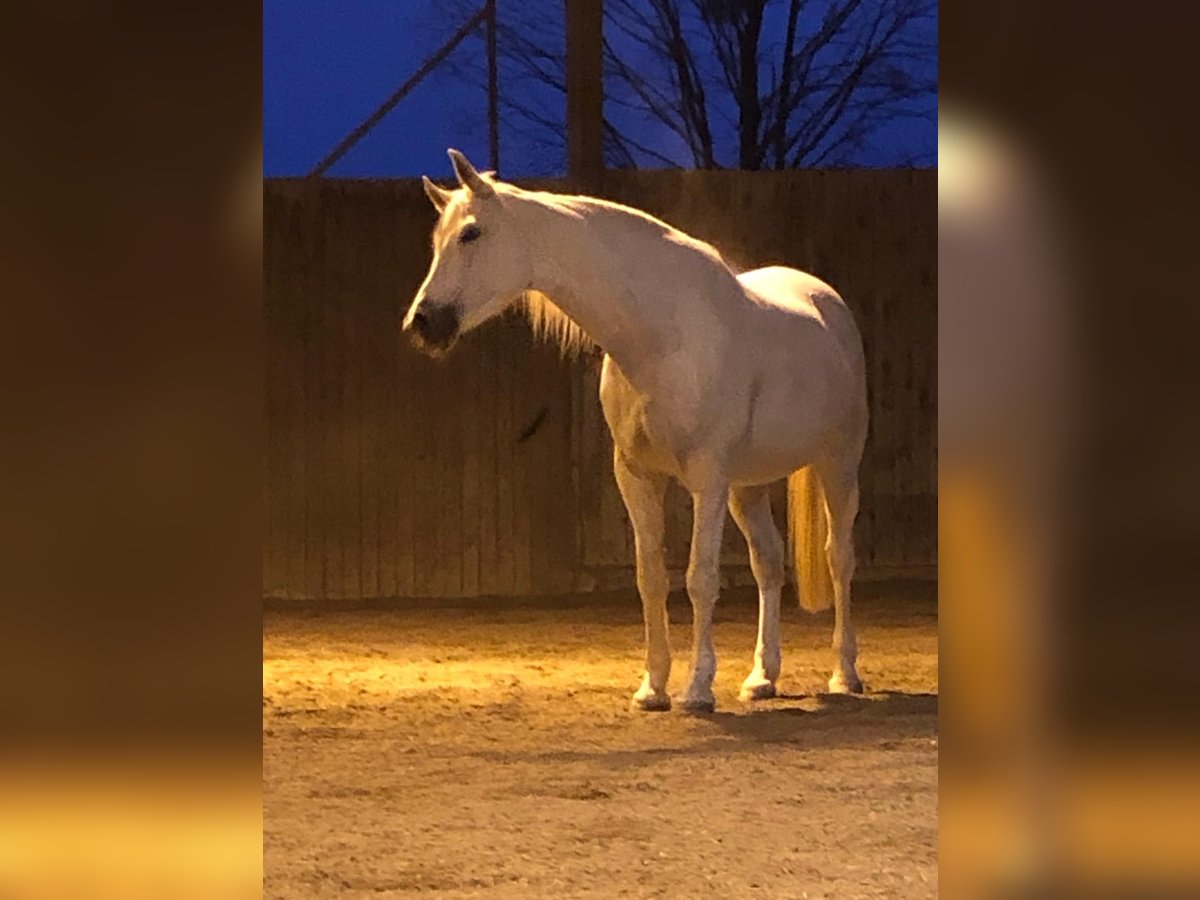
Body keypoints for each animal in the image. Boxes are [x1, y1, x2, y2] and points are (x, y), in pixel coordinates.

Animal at [408, 150, 868, 710]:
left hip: (837, 464)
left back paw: (845, 674)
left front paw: (697, 688)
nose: (424, 322)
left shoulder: (706, 480)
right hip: (749, 486)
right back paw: (763, 677)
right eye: (438, 238)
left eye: (471, 233)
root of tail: (826, 302)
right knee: (768, 561)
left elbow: (700, 578)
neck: (661, 337)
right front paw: (653, 687)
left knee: (839, 558)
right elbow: (650, 578)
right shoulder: (637, 476)